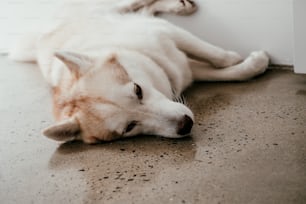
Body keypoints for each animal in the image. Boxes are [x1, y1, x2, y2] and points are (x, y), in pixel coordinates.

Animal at [8, 0, 268, 143]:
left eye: (137, 90)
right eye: (129, 127)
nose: (185, 125)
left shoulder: (166, 32)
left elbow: (213, 54)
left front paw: (236, 57)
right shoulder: (182, 68)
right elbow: (224, 72)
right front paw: (251, 65)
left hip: (110, 6)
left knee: (133, 2)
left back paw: (178, 6)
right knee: (143, 8)